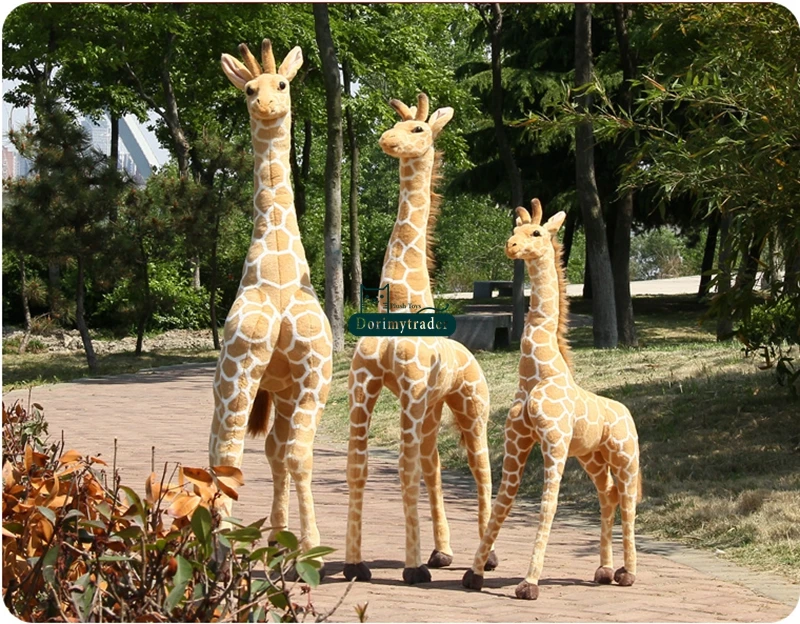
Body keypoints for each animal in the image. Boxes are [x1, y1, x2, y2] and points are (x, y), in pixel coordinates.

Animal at [343, 94, 496, 585]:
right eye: (394, 122)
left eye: (417, 130)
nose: (385, 140)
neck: (399, 304)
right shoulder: (363, 386)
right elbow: (359, 467)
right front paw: (355, 564)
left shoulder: (409, 386)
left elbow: (403, 470)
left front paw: (411, 570)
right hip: (431, 413)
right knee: (435, 467)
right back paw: (441, 553)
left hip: (472, 410)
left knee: (482, 470)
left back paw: (485, 559)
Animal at [462, 199, 641, 600]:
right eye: (513, 229)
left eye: (536, 232)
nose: (511, 246)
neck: (536, 373)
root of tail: (627, 412)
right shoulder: (517, 442)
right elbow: (502, 502)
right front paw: (474, 572)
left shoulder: (554, 443)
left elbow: (549, 504)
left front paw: (529, 583)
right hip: (592, 457)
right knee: (607, 495)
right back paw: (605, 569)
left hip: (625, 456)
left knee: (627, 501)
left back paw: (629, 573)